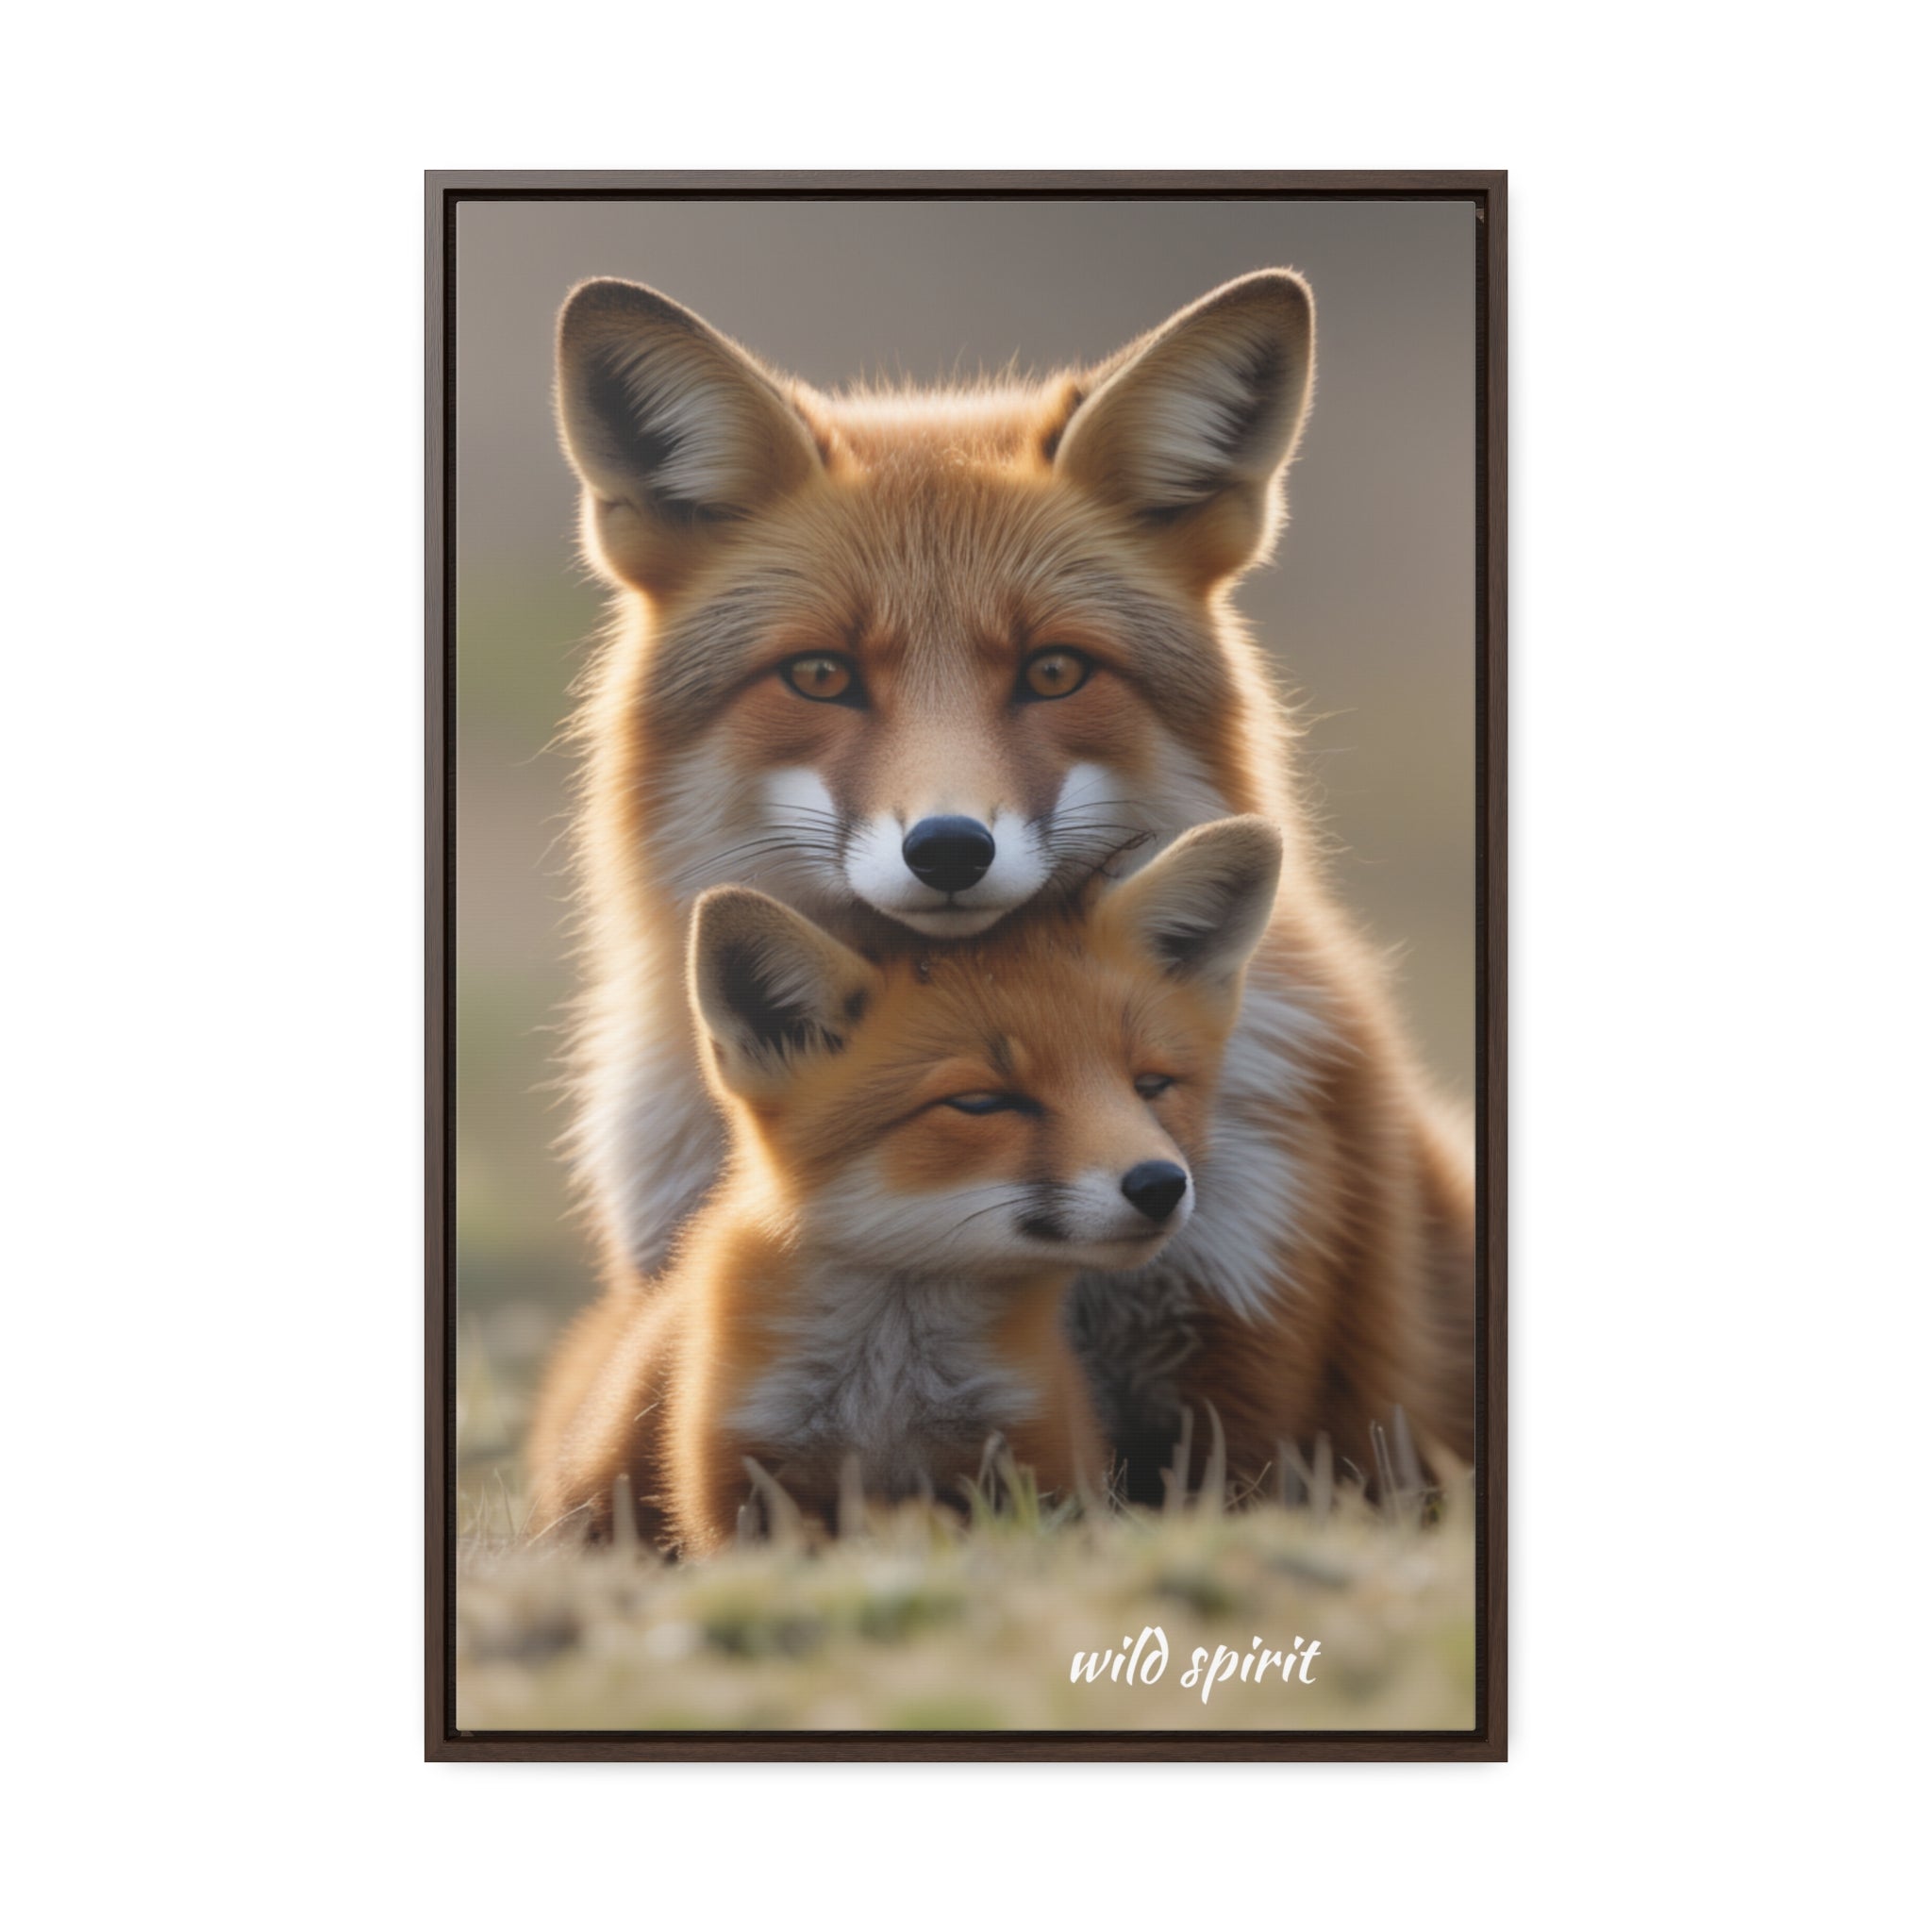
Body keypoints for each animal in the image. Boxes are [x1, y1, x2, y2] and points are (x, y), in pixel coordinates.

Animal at [526, 819, 1283, 1551]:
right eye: (982, 1102)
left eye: (1151, 1086)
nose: (1160, 1185)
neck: (888, 1390)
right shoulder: (739, 1480)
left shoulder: (1037, 1458)